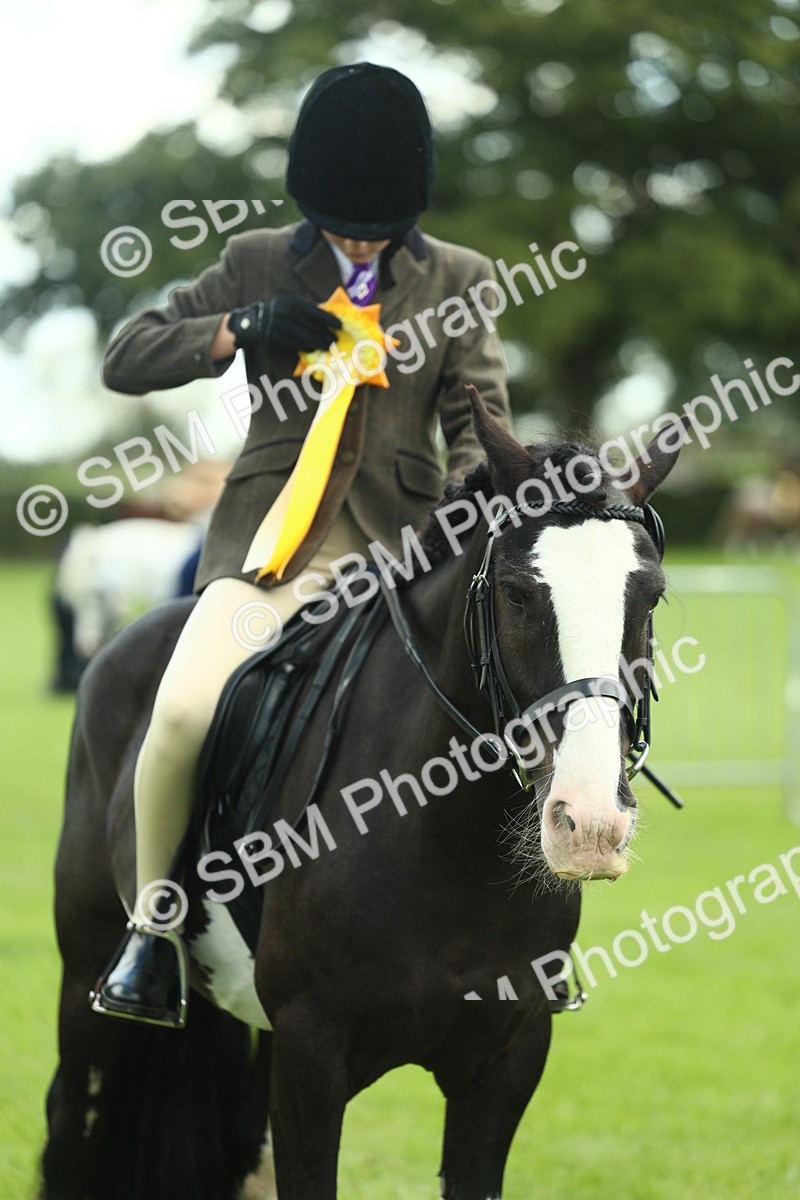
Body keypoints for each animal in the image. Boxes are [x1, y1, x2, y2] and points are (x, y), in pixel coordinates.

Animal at [40, 391, 685, 1200]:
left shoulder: (505, 1060)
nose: (590, 824)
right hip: (86, 989)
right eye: (516, 595)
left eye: (651, 597)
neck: (450, 848)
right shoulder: (311, 1057)